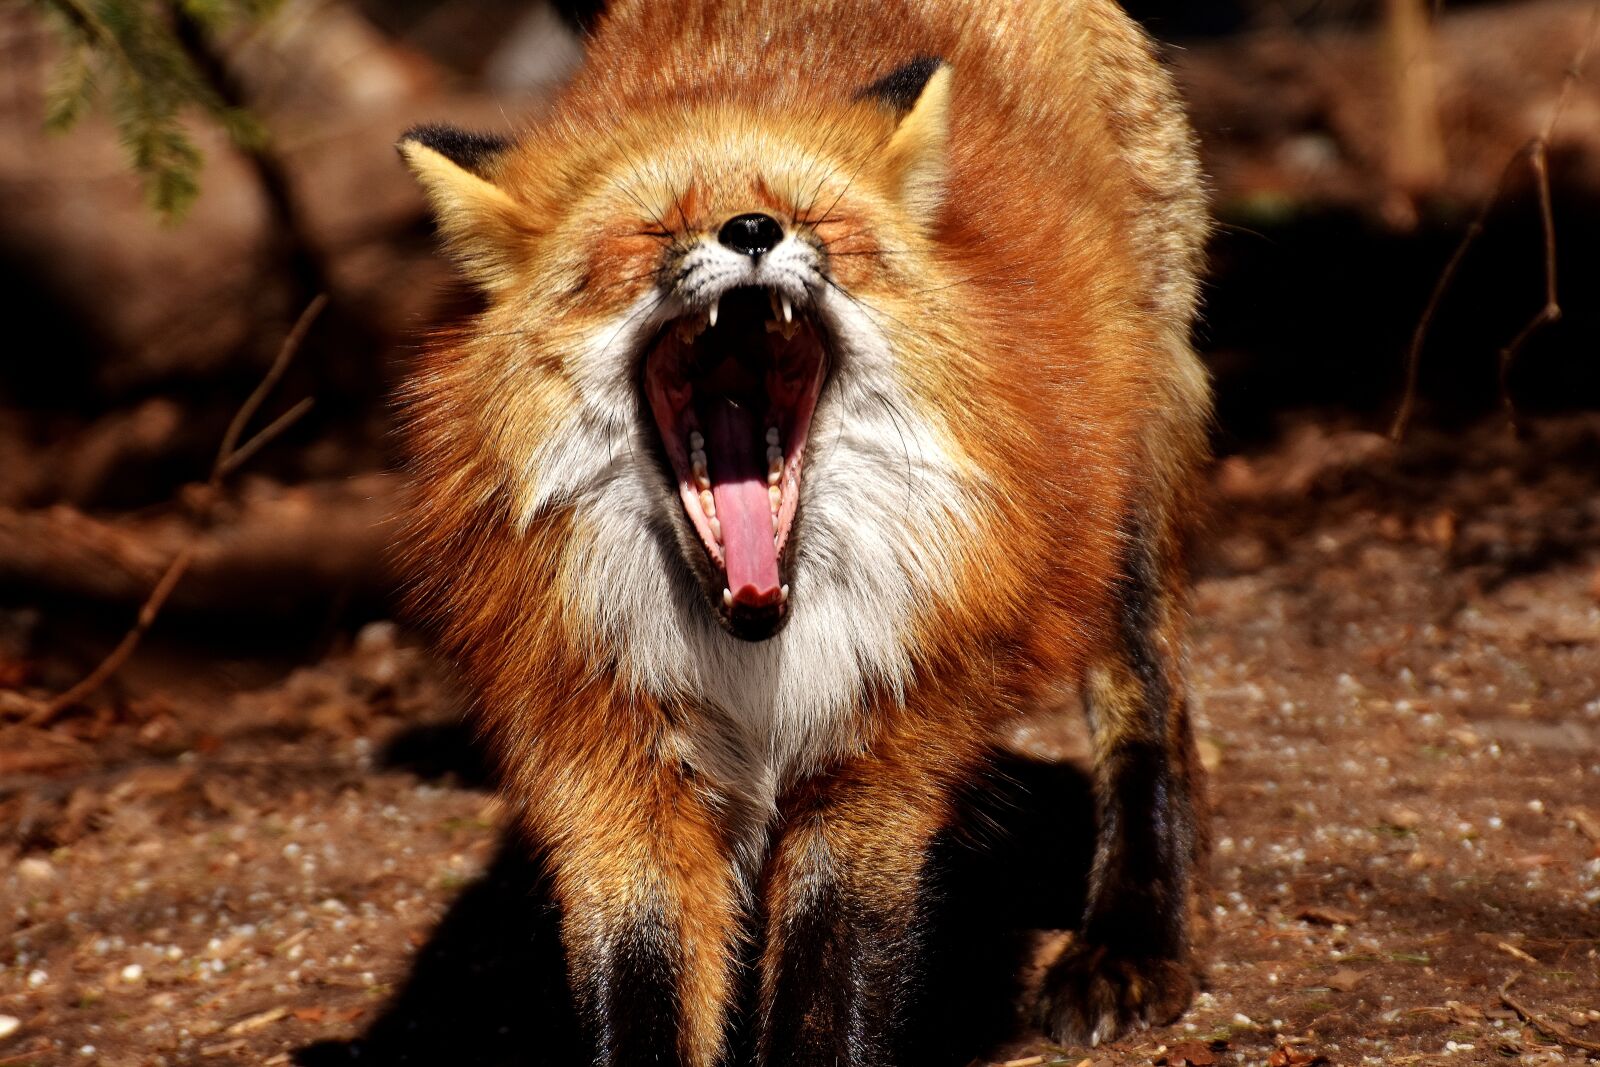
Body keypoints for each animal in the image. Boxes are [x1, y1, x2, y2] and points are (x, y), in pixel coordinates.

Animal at [395, 0, 1212, 1063]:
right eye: (652, 230)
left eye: (816, 221)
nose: (752, 229)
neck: (752, 647)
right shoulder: (611, 765)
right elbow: (643, 979)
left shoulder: (879, 748)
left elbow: (832, 980)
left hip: (1122, 502)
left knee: (1150, 709)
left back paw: (1133, 936)